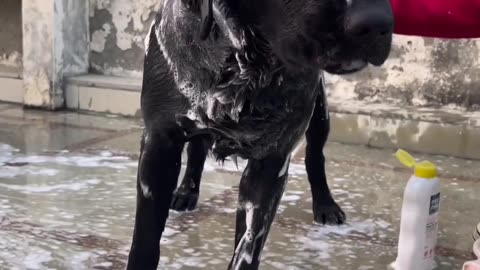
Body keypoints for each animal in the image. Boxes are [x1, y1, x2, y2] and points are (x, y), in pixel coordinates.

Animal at [128, 0, 394, 268]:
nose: (376, 23)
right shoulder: (159, 144)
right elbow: (145, 241)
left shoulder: (271, 162)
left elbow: (247, 249)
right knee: (197, 149)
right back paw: (186, 192)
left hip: (320, 116)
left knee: (315, 158)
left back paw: (326, 205)